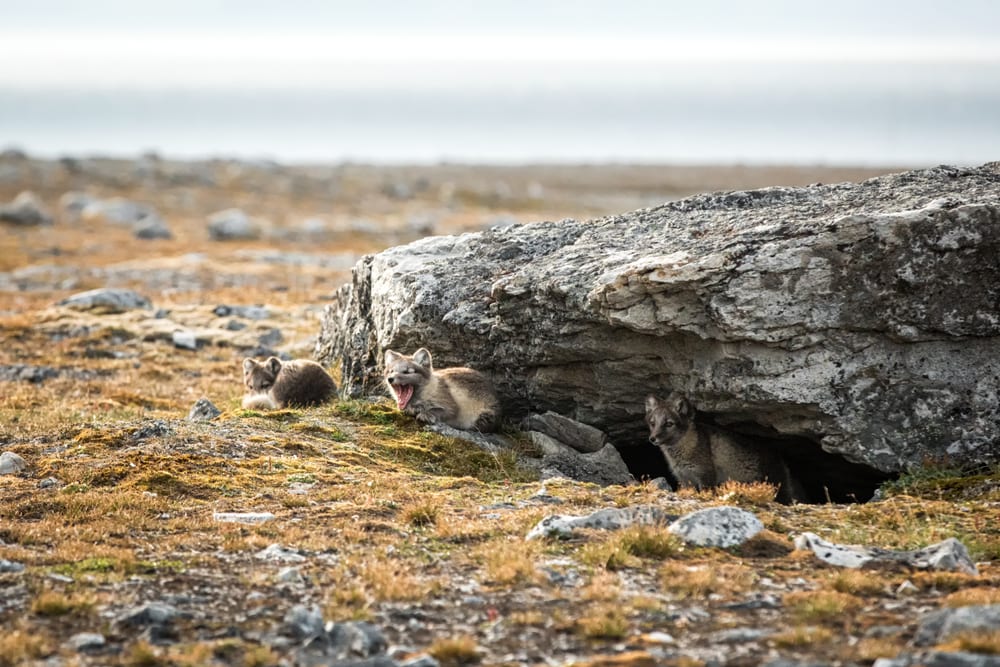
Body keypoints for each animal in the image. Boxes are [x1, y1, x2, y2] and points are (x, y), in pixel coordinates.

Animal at [645, 392, 806, 504]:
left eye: (669, 424)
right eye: (652, 423)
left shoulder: (705, 475)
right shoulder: (684, 479)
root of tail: (781, 459)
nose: (652, 439)